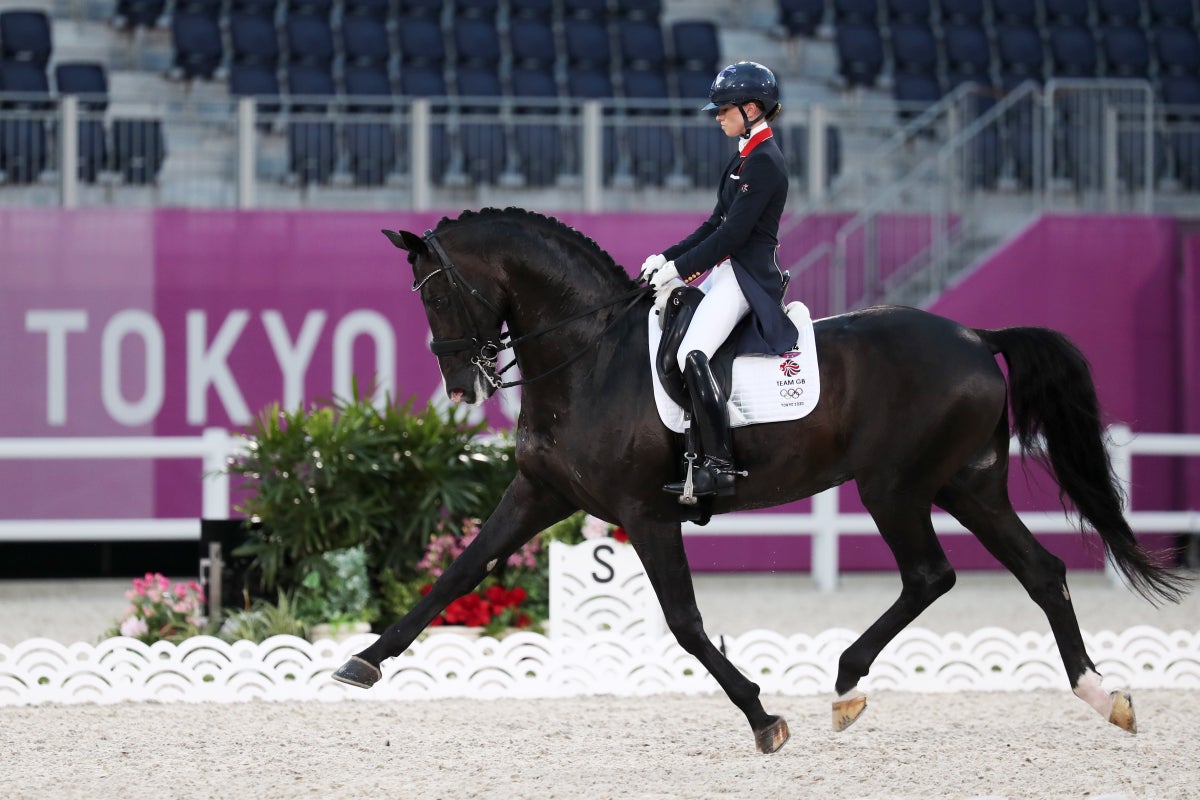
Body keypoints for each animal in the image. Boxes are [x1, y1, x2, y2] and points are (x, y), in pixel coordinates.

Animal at [333, 205, 1185, 753]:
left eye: (442, 292)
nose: (460, 386)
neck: (589, 357)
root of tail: (977, 335)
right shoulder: (540, 493)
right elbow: (460, 573)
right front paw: (362, 661)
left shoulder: (647, 513)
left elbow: (684, 622)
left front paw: (762, 718)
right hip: (966, 485)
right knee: (1040, 572)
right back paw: (1103, 696)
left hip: (896, 487)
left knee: (931, 574)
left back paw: (845, 682)